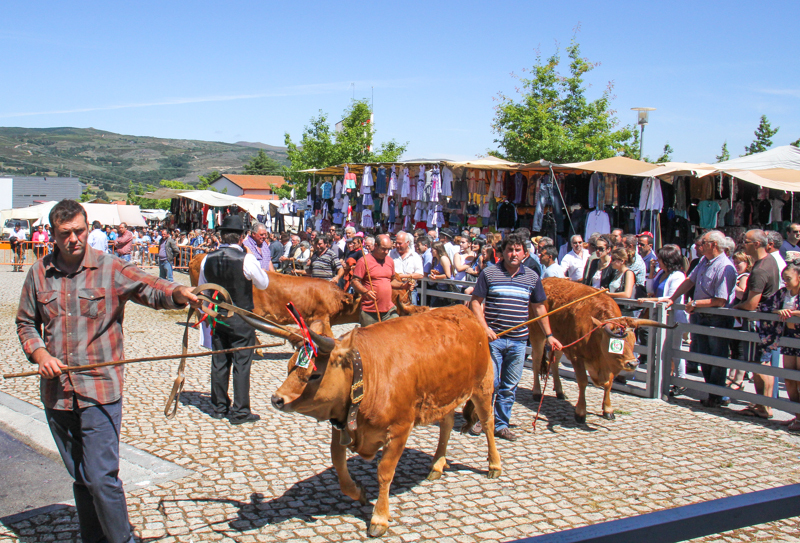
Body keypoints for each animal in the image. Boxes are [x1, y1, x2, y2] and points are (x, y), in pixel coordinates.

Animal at [252, 308, 500, 536]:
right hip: (444, 396)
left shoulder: (400, 429)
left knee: (488, 422)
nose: (277, 399)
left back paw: (494, 465)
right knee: (447, 425)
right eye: (289, 367)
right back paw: (437, 464)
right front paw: (359, 493)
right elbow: (339, 467)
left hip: (482, 386)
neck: (369, 373)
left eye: (314, 374)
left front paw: (379, 517)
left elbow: (384, 472)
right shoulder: (340, 425)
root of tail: (462, 310)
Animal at [532, 280, 676, 424]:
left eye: (633, 339)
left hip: (558, 341)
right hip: (538, 334)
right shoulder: (577, 357)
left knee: (554, 363)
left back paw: (559, 391)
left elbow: (609, 384)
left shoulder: (609, 361)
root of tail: (548, 280)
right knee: (537, 361)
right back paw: (537, 392)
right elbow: (583, 382)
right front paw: (580, 412)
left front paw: (608, 409)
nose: (633, 364)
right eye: (616, 341)